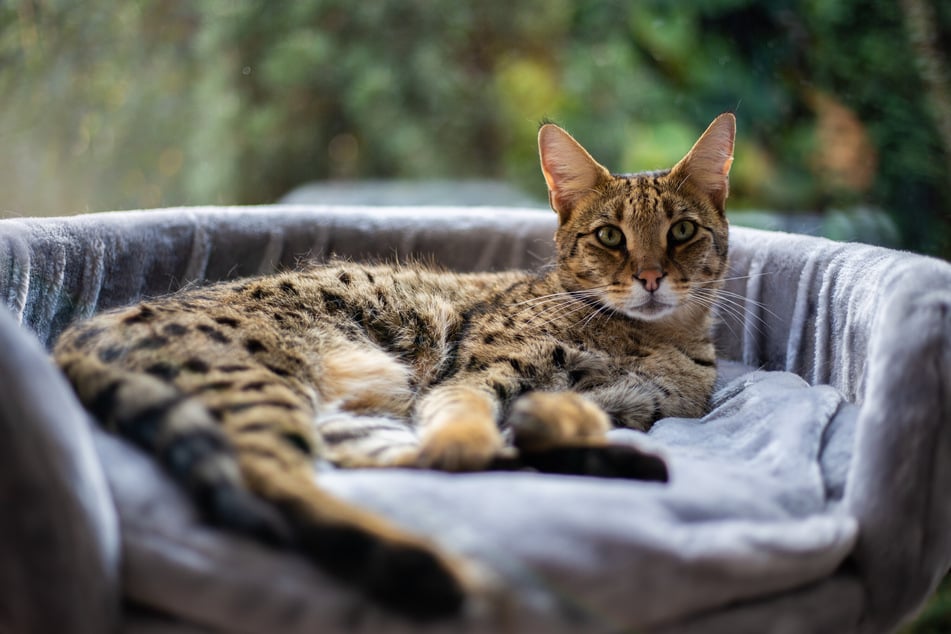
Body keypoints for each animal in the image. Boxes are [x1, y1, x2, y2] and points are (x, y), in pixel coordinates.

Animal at [52, 112, 736, 616]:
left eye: (681, 231)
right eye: (609, 237)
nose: (651, 277)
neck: (645, 337)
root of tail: (71, 335)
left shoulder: (634, 404)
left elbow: (552, 417)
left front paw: (559, 427)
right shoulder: (475, 376)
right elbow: (464, 416)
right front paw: (499, 431)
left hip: (352, 415)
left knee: (405, 460)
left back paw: (615, 466)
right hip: (264, 382)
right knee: (275, 474)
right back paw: (424, 567)